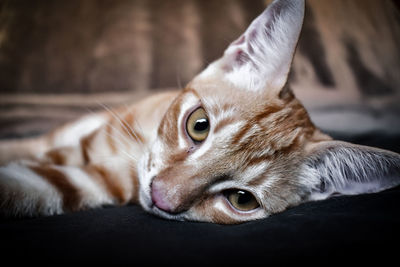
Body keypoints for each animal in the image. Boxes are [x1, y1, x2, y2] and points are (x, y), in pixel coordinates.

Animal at [0, 0, 398, 225]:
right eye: (199, 125)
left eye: (241, 199)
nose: (160, 197)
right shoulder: (65, 135)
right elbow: (19, 147)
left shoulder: (84, 183)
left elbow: (21, 186)